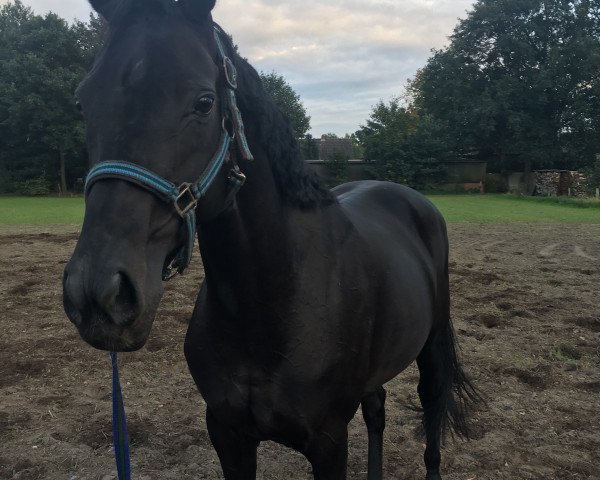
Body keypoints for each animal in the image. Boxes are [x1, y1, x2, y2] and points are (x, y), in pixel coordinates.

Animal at [63, 1, 478, 478]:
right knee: (377, 408)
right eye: (83, 102)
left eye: (204, 102)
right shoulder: (228, 433)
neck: (270, 300)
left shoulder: (329, 442)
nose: (97, 293)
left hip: (431, 347)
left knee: (432, 408)